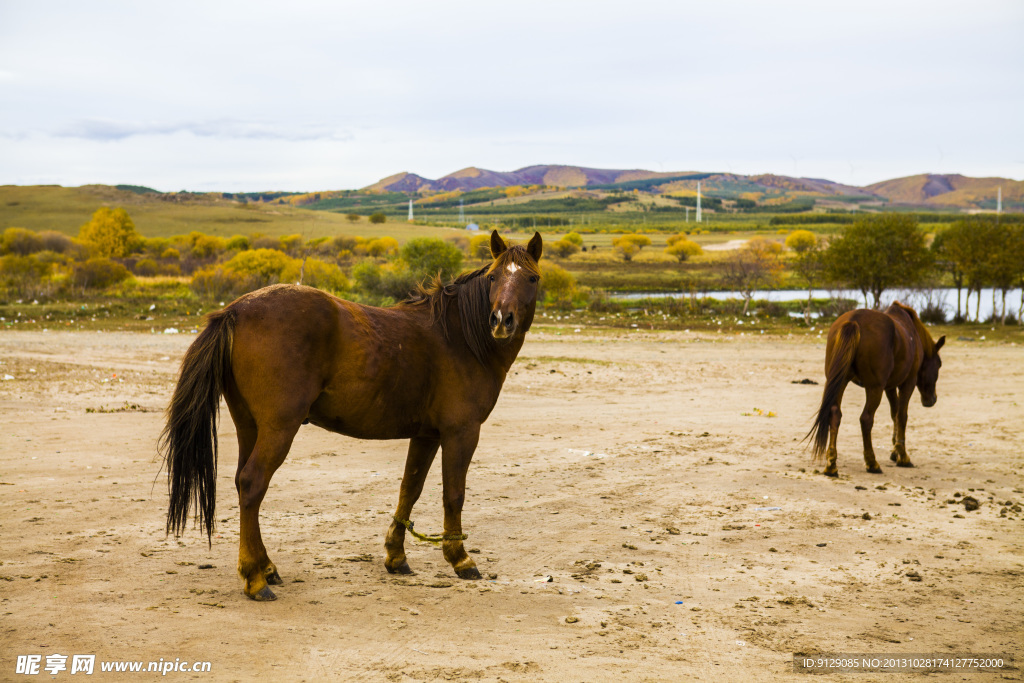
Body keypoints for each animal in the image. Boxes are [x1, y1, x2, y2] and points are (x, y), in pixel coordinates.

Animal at [160, 232, 544, 602]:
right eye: (493, 276)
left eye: (532, 278)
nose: (501, 320)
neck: (459, 338)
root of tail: (236, 310)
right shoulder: (461, 432)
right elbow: (454, 494)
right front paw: (460, 559)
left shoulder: (426, 434)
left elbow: (410, 489)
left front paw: (396, 556)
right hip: (278, 429)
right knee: (253, 484)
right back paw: (255, 580)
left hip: (249, 426)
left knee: (243, 484)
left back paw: (266, 567)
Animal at [806, 301, 942, 479]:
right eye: (939, 364)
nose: (932, 399)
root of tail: (853, 321)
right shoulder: (907, 383)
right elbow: (902, 416)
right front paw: (902, 456)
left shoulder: (889, 387)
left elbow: (894, 414)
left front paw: (895, 451)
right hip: (874, 388)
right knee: (866, 419)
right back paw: (872, 463)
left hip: (840, 381)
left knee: (835, 414)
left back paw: (831, 465)